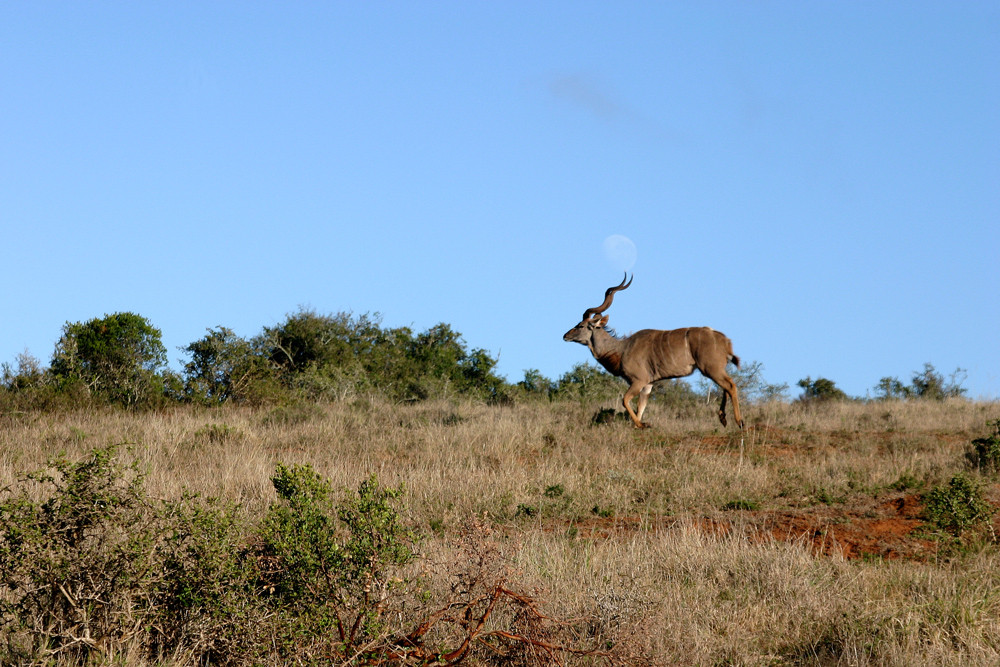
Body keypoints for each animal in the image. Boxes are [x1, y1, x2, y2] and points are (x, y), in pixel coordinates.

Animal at [564, 274, 744, 430]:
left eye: (580, 325)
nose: (565, 336)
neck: (622, 349)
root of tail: (724, 339)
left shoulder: (639, 380)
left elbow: (625, 400)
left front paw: (643, 425)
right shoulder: (648, 385)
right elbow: (640, 407)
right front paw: (639, 425)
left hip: (710, 368)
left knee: (730, 385)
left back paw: (739, 421)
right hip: (714, 369)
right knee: (726, 386)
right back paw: (723, 418)